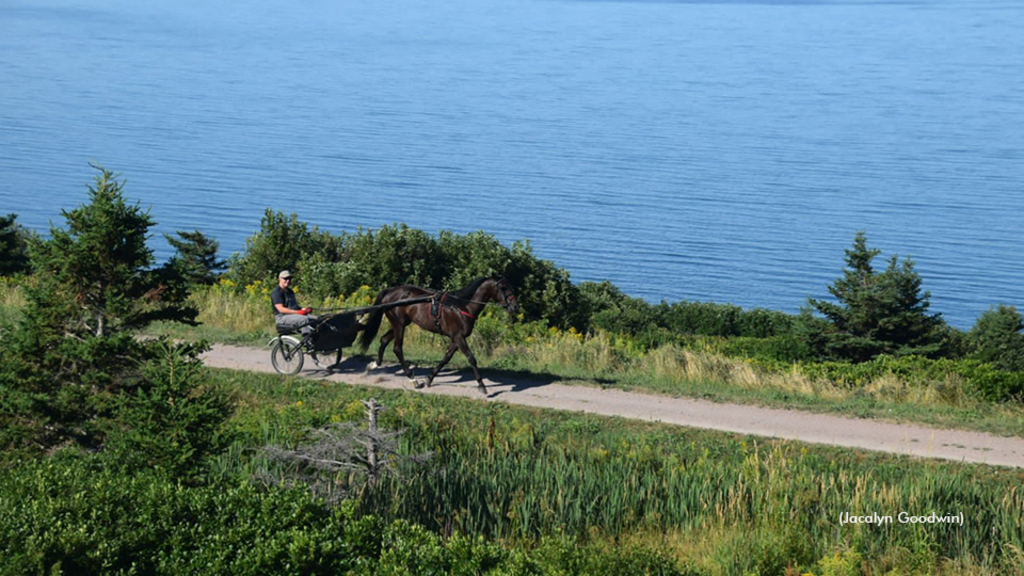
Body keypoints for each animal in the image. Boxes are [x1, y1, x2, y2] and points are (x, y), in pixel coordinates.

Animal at [360, 274, 520, 391]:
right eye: (503, 287)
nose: (515, 307)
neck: (463, 306)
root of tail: (389, 292)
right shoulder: (458, 337)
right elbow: (471, 358)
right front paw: (482, 385)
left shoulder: (456, 338)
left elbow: (446, 358)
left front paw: (429, 378)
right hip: (399, 324)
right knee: (397, 349)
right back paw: (412, 378)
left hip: (401, 323)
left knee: (384, 339)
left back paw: (374, 365)